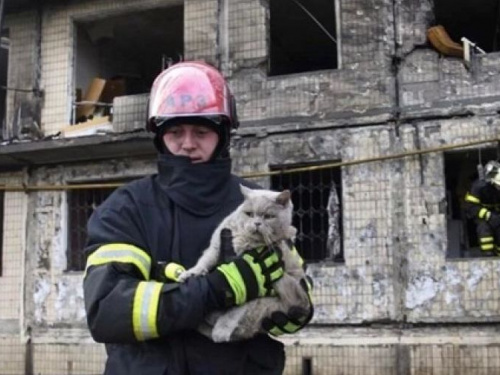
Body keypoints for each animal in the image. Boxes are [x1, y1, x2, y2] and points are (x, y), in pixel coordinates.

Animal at [178, 185, 310, 344]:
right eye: (249, 214)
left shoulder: (254, 286)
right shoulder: (215, 247)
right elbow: (204, 261)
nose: (257, 223)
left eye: (268, 217)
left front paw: (221, 330)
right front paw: (190, 273)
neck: (246, 240)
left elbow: (235, 311)